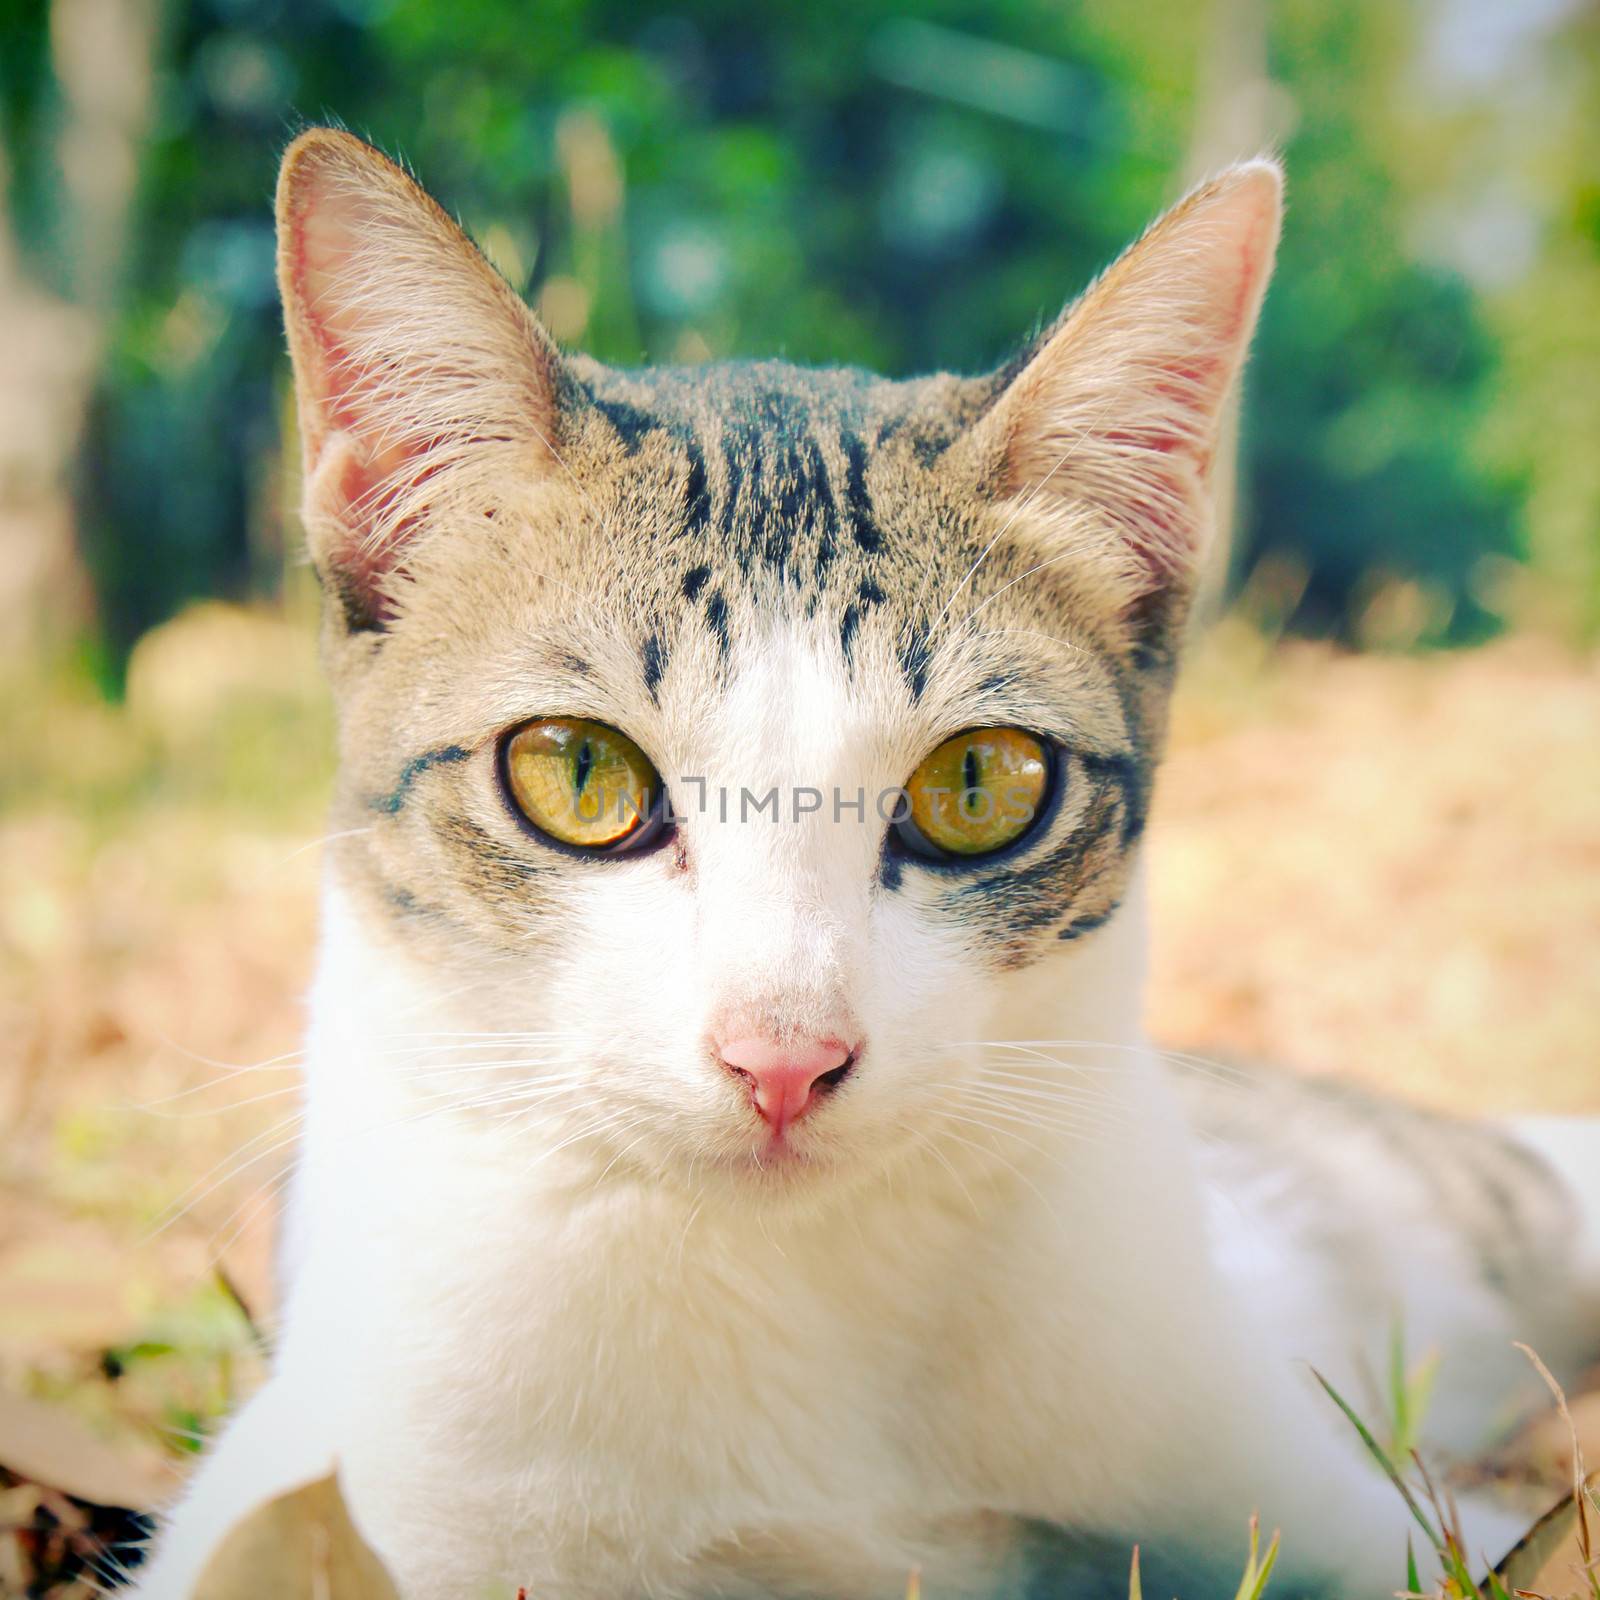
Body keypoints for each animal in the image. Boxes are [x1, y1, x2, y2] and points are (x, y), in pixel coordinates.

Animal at [128, 128, 1600, 1600]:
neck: (792, 1283)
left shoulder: (1313, 1487)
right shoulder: (346, 1493)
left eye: (978, 784)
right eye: (580, 772)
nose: (784, 1057)